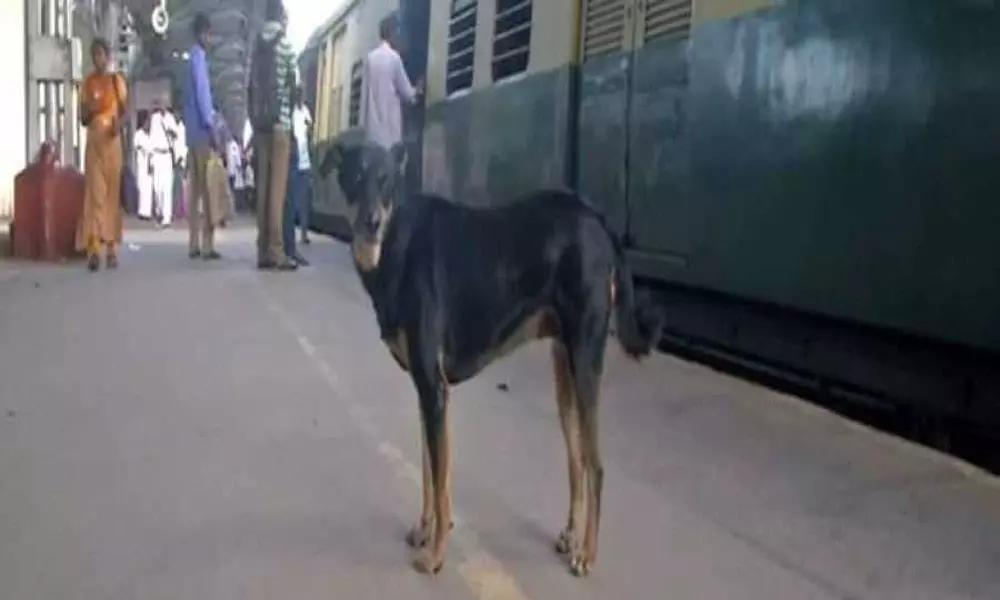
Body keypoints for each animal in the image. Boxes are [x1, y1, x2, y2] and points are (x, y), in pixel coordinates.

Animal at [322, 141, 664, 576]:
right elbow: (430, 472)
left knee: (597, 466)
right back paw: (571, 535)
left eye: (385, 180)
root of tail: (597, 219)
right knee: (576, 458)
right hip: (564, 369)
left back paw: (587, 553)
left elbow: (441, 479)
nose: (371, 222)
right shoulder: (426, 391)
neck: (395, 243)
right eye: (353, 176)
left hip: (586, 362)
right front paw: (425, 530)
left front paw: (436, 554)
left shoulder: (434, 388)